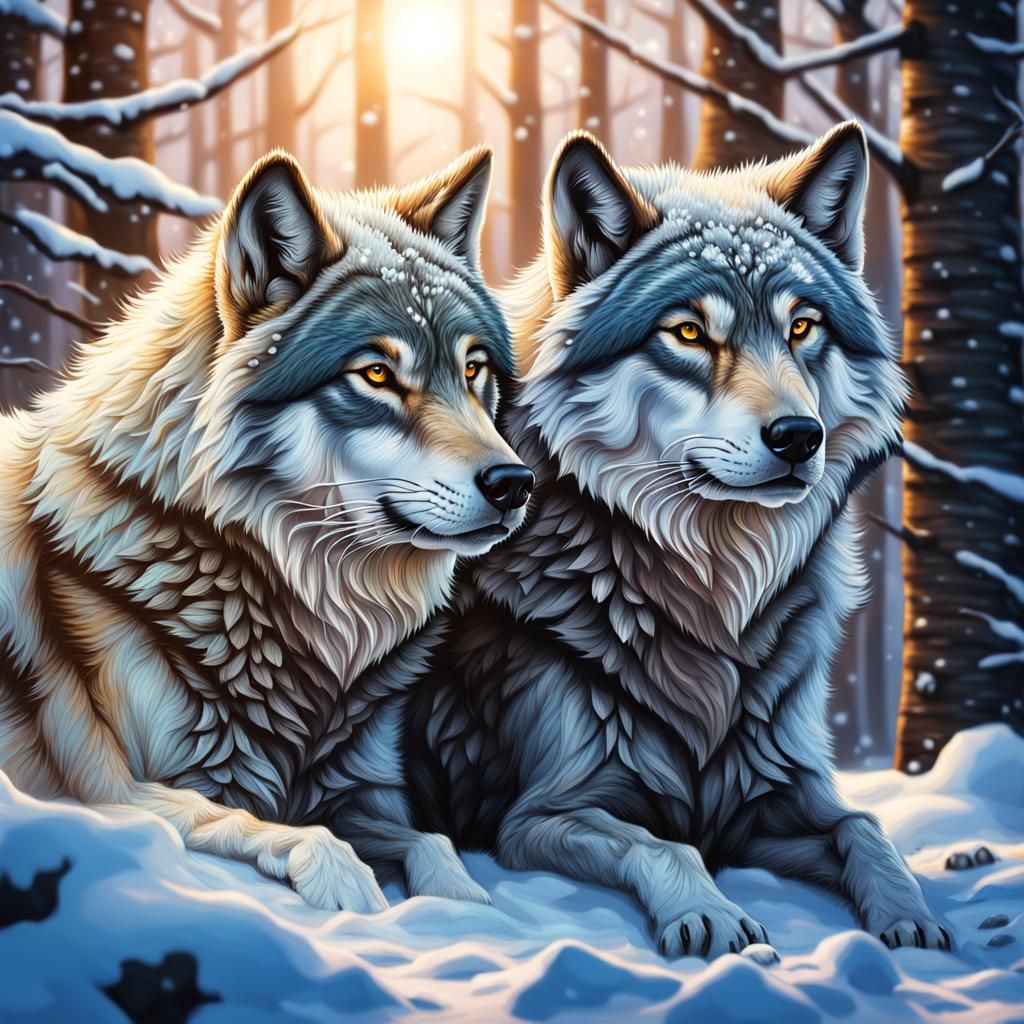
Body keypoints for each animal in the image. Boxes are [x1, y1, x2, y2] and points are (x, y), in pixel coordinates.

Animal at [0, 146, 534, 912]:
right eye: (376, 374)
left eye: (473, 369)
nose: (515, 484)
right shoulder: (114, 790)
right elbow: (281, 830)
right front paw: (353, 894)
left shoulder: (358, 791)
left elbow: (430, 841)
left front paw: (461, 904)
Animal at [407, 123, 951, 956]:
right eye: (689, 333)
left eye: (802, 327)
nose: (800, 436)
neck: (711, 599)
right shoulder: (541, 814)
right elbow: (665, 845)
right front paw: (715, 917)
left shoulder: (765, 796)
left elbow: (865, 828)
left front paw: (912, 920)